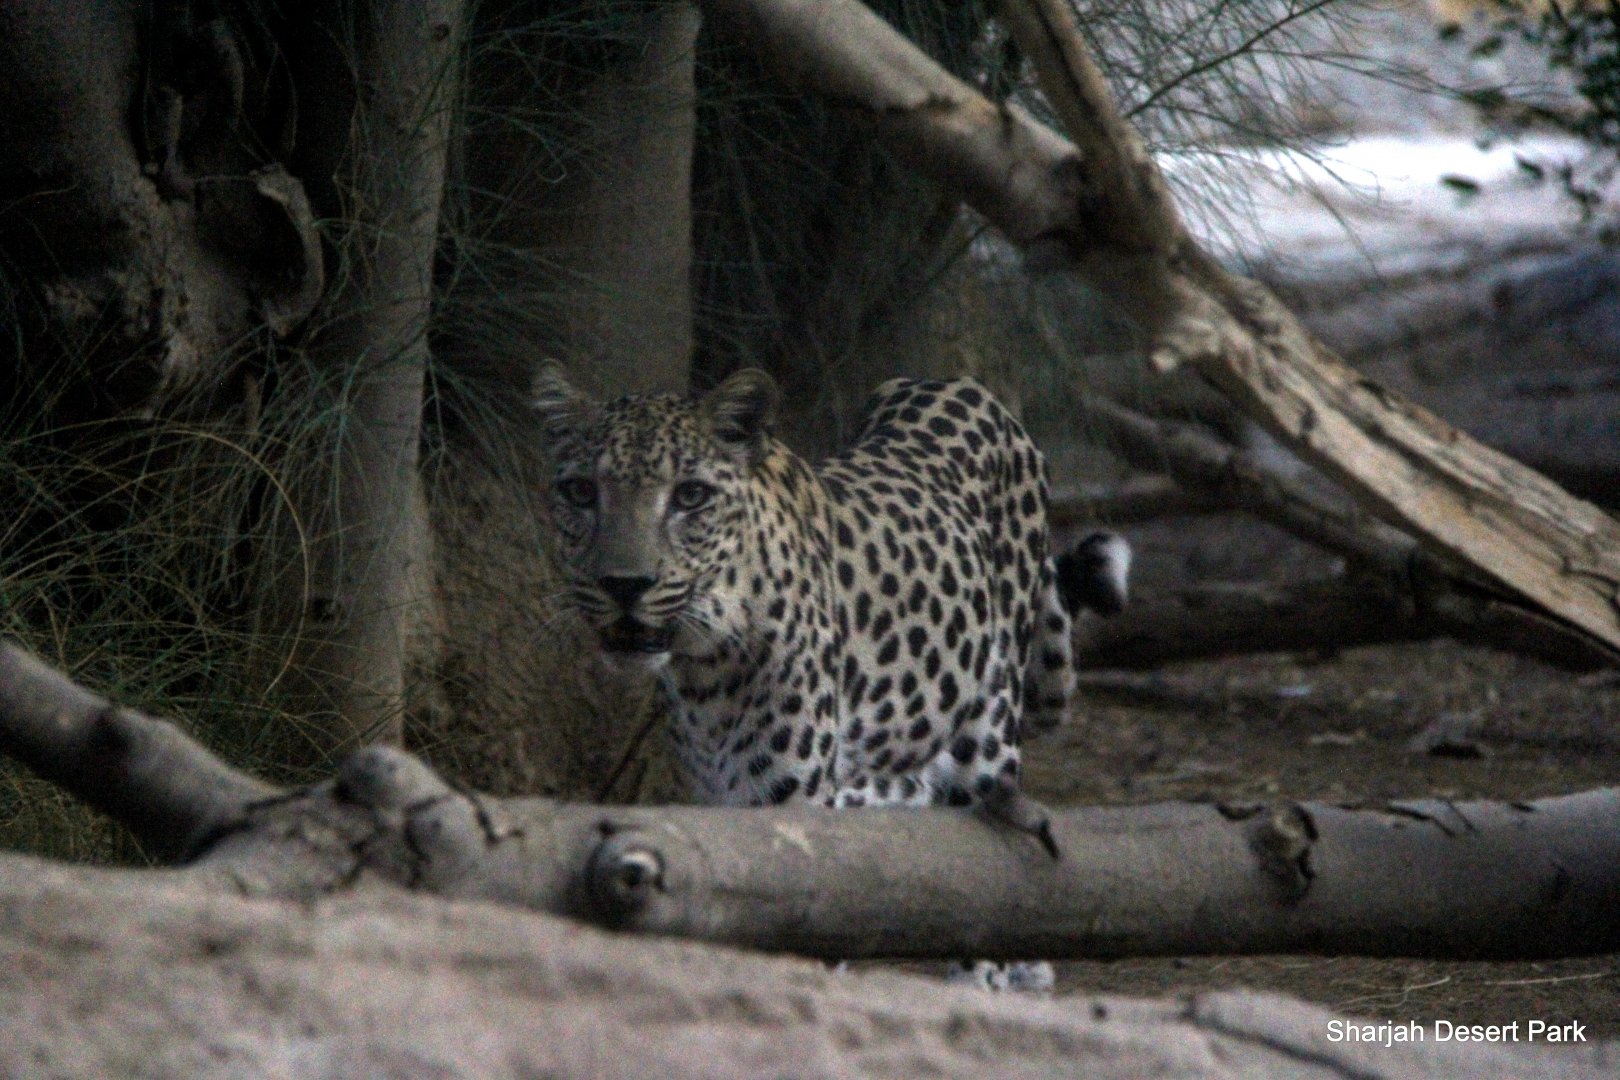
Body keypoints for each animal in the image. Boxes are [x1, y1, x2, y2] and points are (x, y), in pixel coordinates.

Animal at [532, 364, 1129, 989]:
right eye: (581, 492)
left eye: (691, 496)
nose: (624, 585)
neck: (707, 668)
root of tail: (966, 386)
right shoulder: (723, 805)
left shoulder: (789, 815)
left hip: (988, 734)